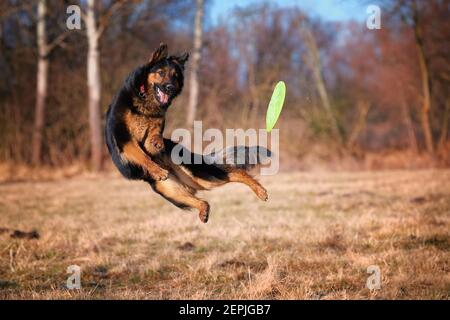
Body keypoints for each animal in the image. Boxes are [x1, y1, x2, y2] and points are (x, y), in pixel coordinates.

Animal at [104, 43, 270, 222]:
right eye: (161, 73)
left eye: (175, 76)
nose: (170, 88)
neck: (144, 100)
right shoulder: (125, 140)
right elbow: (142, 156)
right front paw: (156, 170)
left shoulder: (151, 132)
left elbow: (152, 137)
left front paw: (157, 142)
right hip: (171, 189)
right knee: (204, 201)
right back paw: (203, 212)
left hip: (198, 175)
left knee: (235, 172)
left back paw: (260, 191)